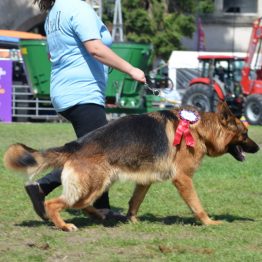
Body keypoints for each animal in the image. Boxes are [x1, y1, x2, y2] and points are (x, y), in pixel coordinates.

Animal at [3, 101, 258, 230]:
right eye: (245, 134)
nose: (258, 148)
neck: (199, 129)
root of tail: (75, 146)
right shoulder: (183, 179)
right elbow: (197, 205)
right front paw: (208, 222)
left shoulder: (145, 180)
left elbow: (135, 202)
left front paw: (132, 220)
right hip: (93, 185)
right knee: (55, 203)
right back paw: (64, 225)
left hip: (98, 184)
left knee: (81, 206)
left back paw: (100, 215)